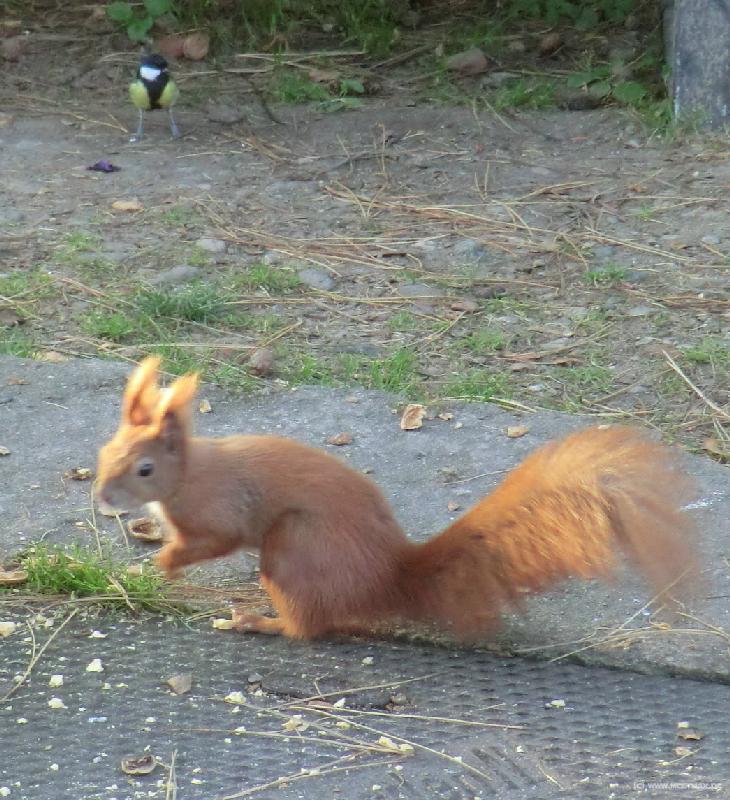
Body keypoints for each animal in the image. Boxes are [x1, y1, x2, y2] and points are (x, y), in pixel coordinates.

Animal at [96, 357, 698, 640]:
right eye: (106, 449)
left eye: (145, 468)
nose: (101, 499)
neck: (189, 472)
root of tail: (386, 577)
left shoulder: (220, 508)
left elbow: (215, 540)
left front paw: (157, 564)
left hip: (294, 548)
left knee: (307, 627)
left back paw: (257, 621)